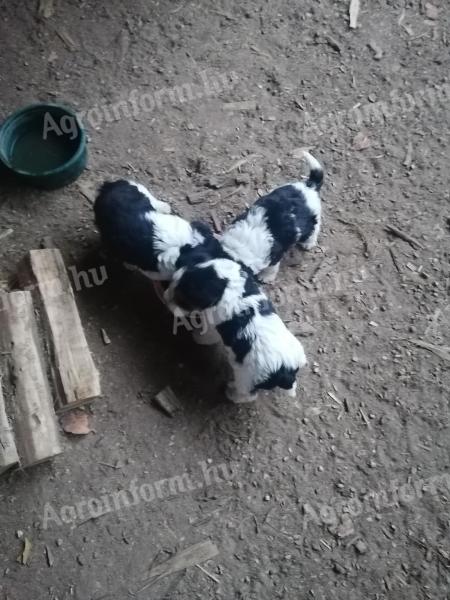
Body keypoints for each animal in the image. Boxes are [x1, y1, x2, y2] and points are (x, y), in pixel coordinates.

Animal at [163, 258, 308, 404]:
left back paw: (231, 393)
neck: (226, 283)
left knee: (247, 395)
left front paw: (197, 336)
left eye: (182, 300)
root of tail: (286, 370)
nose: (165, 297)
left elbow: (207, 335)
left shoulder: (213, 323)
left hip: (246, 379)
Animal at [219, 150, 322, 282]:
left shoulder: (275, 255)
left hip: (312, 218)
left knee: (314, 230)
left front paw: (266, 277)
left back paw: (308, 243)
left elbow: (271, 267)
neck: (241, 245)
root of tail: (310, 185)